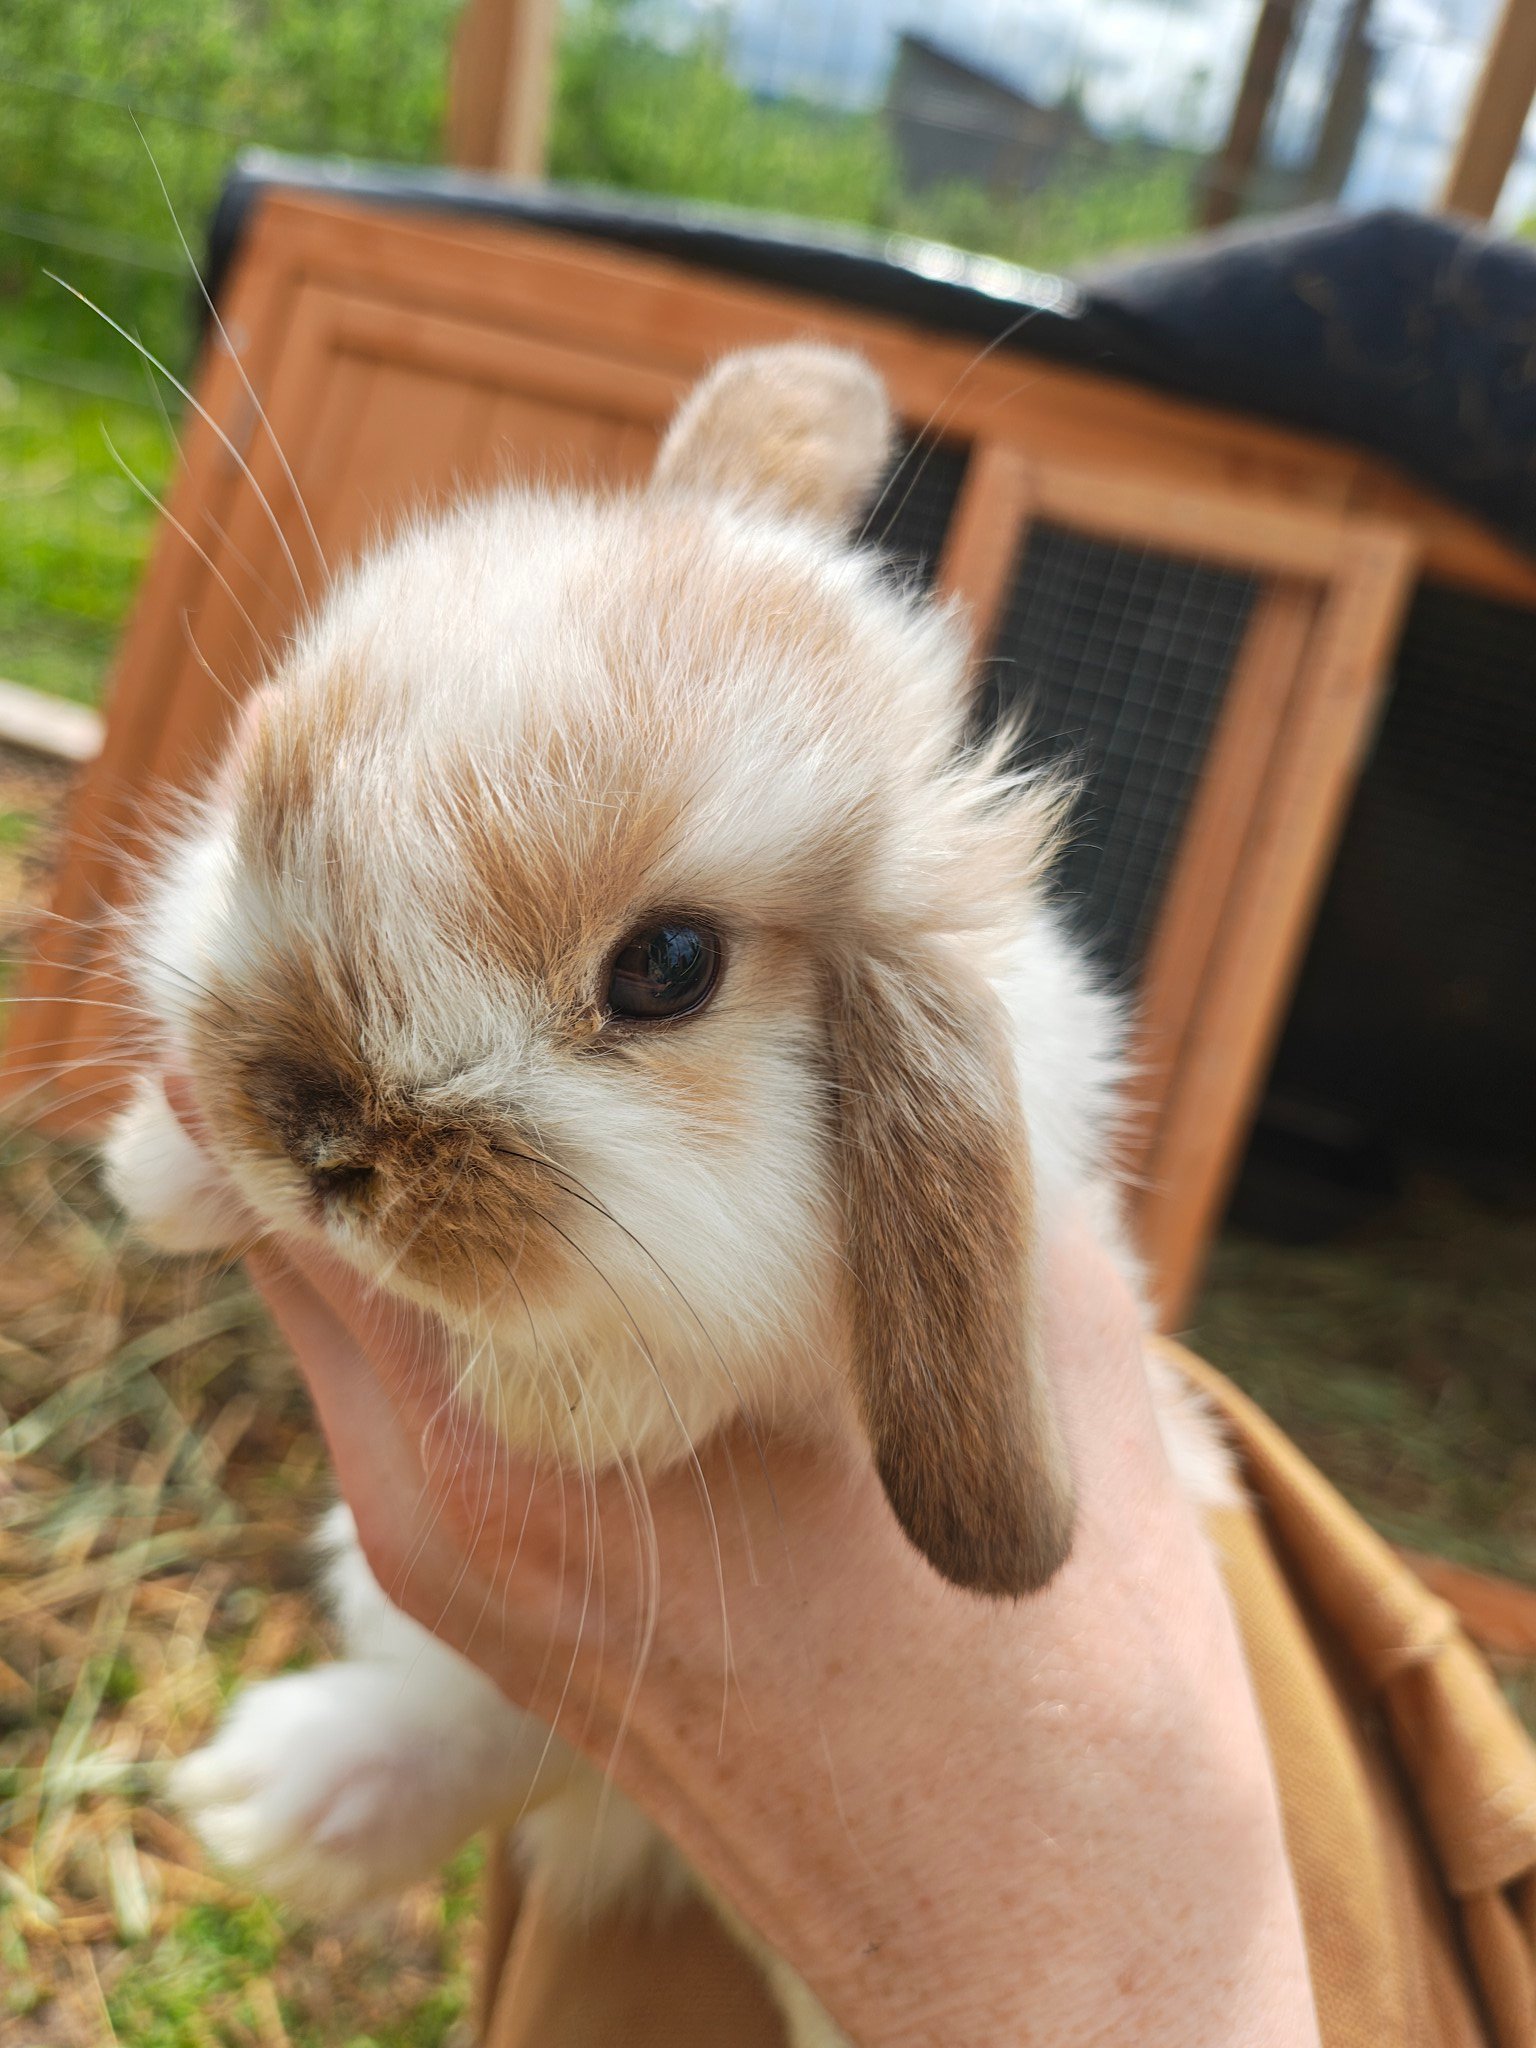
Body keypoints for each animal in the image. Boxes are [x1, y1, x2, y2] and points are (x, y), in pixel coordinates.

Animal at [101, 342, 1232, 2047]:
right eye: (264, 799)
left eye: (670, 968)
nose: (317, 1147)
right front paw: (161, 1171)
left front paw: (564, 1404)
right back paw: (271, 1804)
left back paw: (285, 1806)